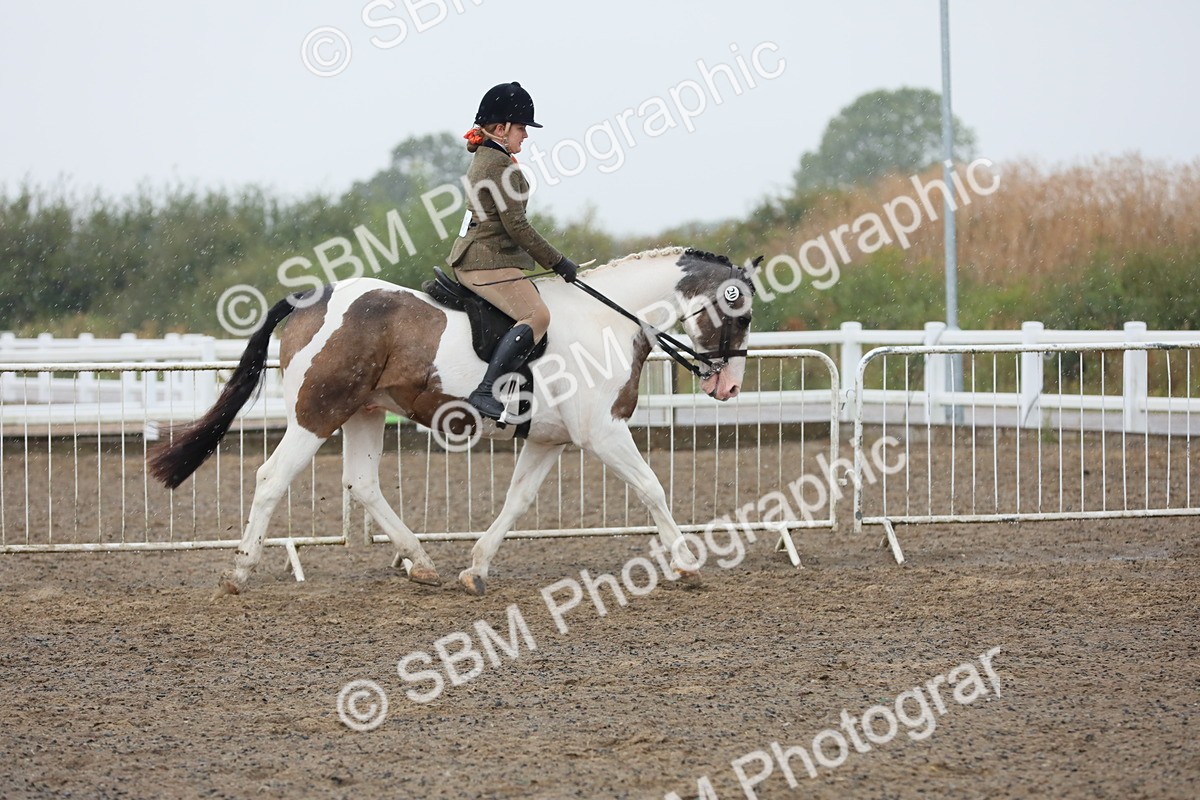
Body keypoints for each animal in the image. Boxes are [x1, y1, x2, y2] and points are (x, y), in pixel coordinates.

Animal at [148, 246, 758, 595]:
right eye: (741, 312)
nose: (728, 387)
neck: (606, 320)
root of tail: (310, 298)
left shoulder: (550, 441)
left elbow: (517, 502)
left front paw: (477, 568)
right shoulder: (602, 433)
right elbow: (652, 488)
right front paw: (686, 563)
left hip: (366, 411)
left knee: (362, 484)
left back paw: (420, 563)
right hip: (316, 412)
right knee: (272, 479)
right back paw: (238, 573)